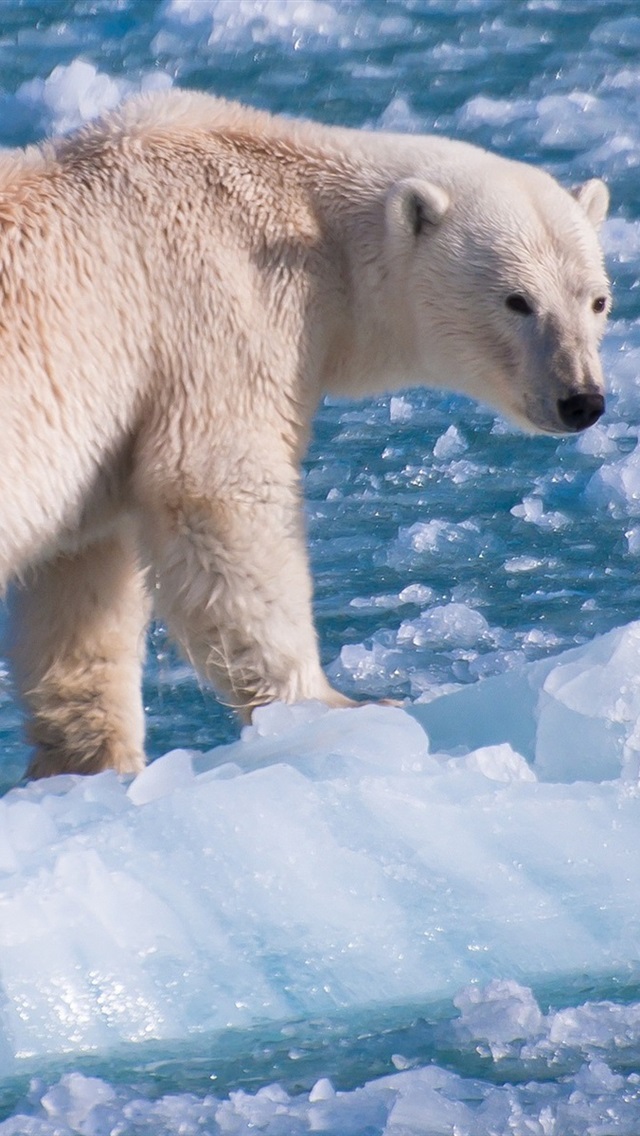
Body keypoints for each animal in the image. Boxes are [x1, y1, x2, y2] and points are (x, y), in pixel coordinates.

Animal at [1, 90, 609, 781]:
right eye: (517, 300)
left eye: (597, 300)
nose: (582, 400)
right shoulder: (214, 312)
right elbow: (218, 493)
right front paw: (338, 705)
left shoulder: (107, 432)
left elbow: (83, 579)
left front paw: (90, 759)